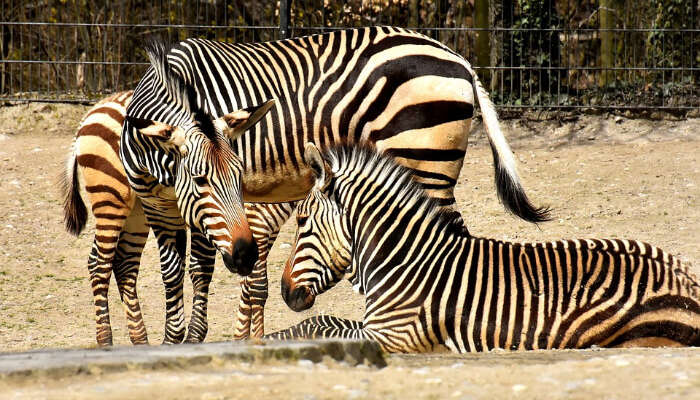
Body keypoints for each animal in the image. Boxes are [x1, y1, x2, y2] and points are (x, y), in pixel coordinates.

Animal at [63, 39, 276, 344]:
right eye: (200, 180)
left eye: (239, 175)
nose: (246, 254)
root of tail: (94, 109)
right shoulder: (161, 209)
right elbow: (174, 271)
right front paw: (176, 336)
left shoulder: (194, 214)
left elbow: (201, 269)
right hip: (110, 198)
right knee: (99, 263)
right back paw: (105, 339)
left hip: (135, 212)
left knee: (125, 264)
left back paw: (140, 340)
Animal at [266, 144, 700, 354]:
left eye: (301, 222)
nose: (284, 291)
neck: (405, 262)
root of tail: (686, 277)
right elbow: (321, 323)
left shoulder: (396, 335)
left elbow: (319, 324)